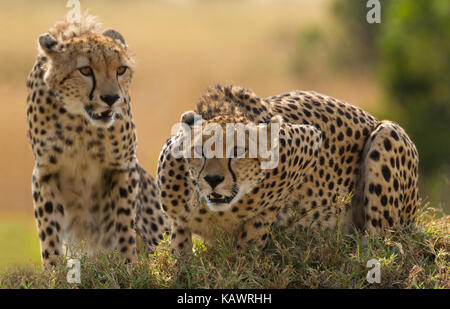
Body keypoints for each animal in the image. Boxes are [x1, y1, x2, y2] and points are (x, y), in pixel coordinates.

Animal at [26, 14, 171, 266]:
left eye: (121, 69)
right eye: (85, 70)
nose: (111, 98)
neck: (82, 123)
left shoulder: (124, 166)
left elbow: (123, 221)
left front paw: (129, 265)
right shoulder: (45, 171)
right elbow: (48, 228)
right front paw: (53, 269)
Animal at [156, 84, 420, 255]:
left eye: (238, 151)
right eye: (200, 150)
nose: (212, 179)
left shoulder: (307, 140)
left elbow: (260, 221)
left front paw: (242, 258)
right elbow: (179, 235)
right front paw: (182, 261)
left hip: (389, 133)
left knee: (383, 239)